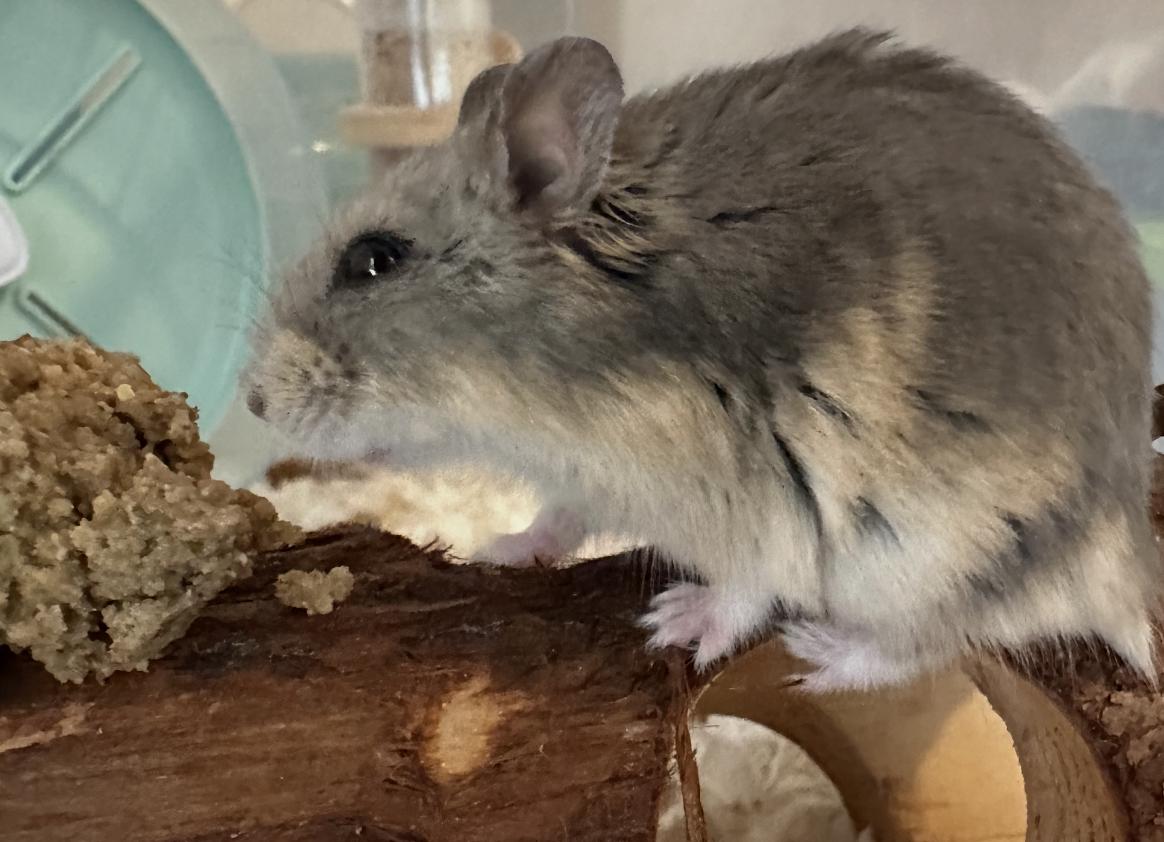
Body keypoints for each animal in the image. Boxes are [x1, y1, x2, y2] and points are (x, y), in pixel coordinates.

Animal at [241, 29, 1159, 691]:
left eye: (374, 260)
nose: (250, 403)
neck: (536, 392)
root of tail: (1131, 555)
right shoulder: (585, 480)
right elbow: (557, 520)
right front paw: (498, 549)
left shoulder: (754, 502)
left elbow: (748, 586)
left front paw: (675, 622)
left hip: (934, 556)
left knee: (940, 640)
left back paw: (821, 655)